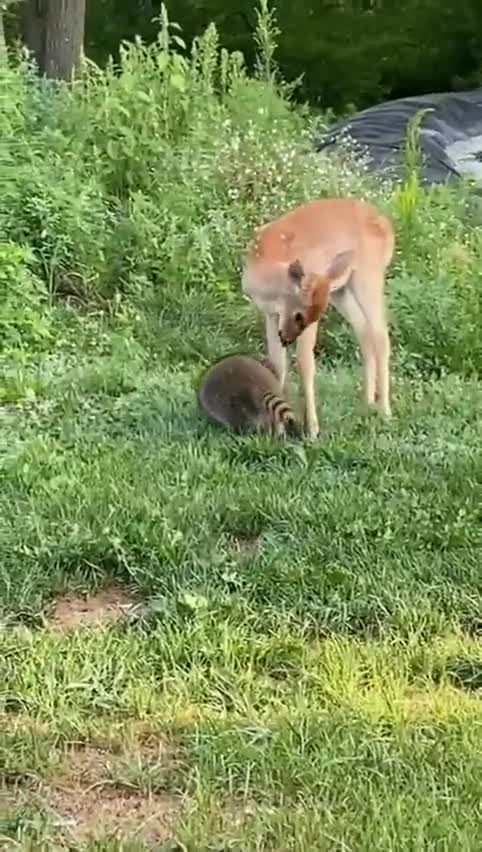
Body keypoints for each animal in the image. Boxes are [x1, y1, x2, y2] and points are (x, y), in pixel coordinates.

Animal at [241, 197, 395, 439]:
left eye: (307, 317)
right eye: (298, 315)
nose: (287, 338)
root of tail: (387, 226)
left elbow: (305, 364)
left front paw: (312, 429)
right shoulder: (271, 315)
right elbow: (278, 364)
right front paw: (278, 425)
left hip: (369, 276)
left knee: (381, 335)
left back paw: (385, 411)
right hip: (341, 290)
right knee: (364, 330)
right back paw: (367, 403)